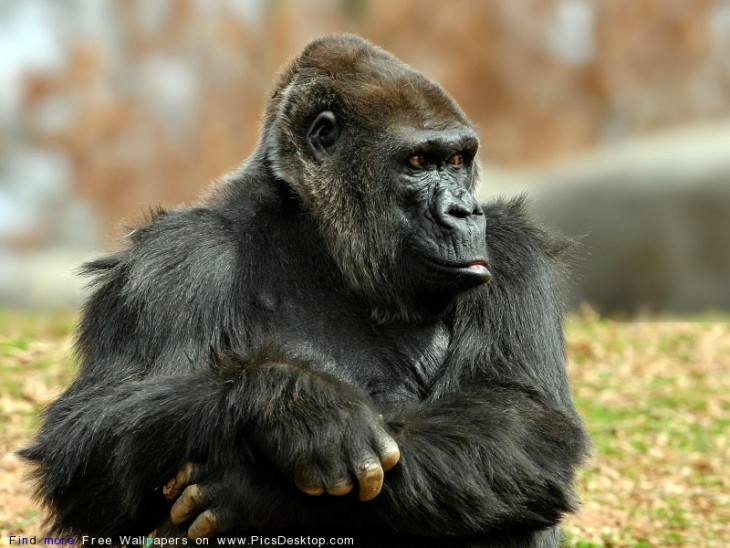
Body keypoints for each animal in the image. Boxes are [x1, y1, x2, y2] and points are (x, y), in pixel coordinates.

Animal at [22, 35, 588, 548]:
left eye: (456, 161)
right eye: (418, 163)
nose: (464, 211)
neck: (321, 242)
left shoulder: (512, 253)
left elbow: (522, 425)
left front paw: (257, 495)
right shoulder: (171, 259)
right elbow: (88, 439)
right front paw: (297, 404)